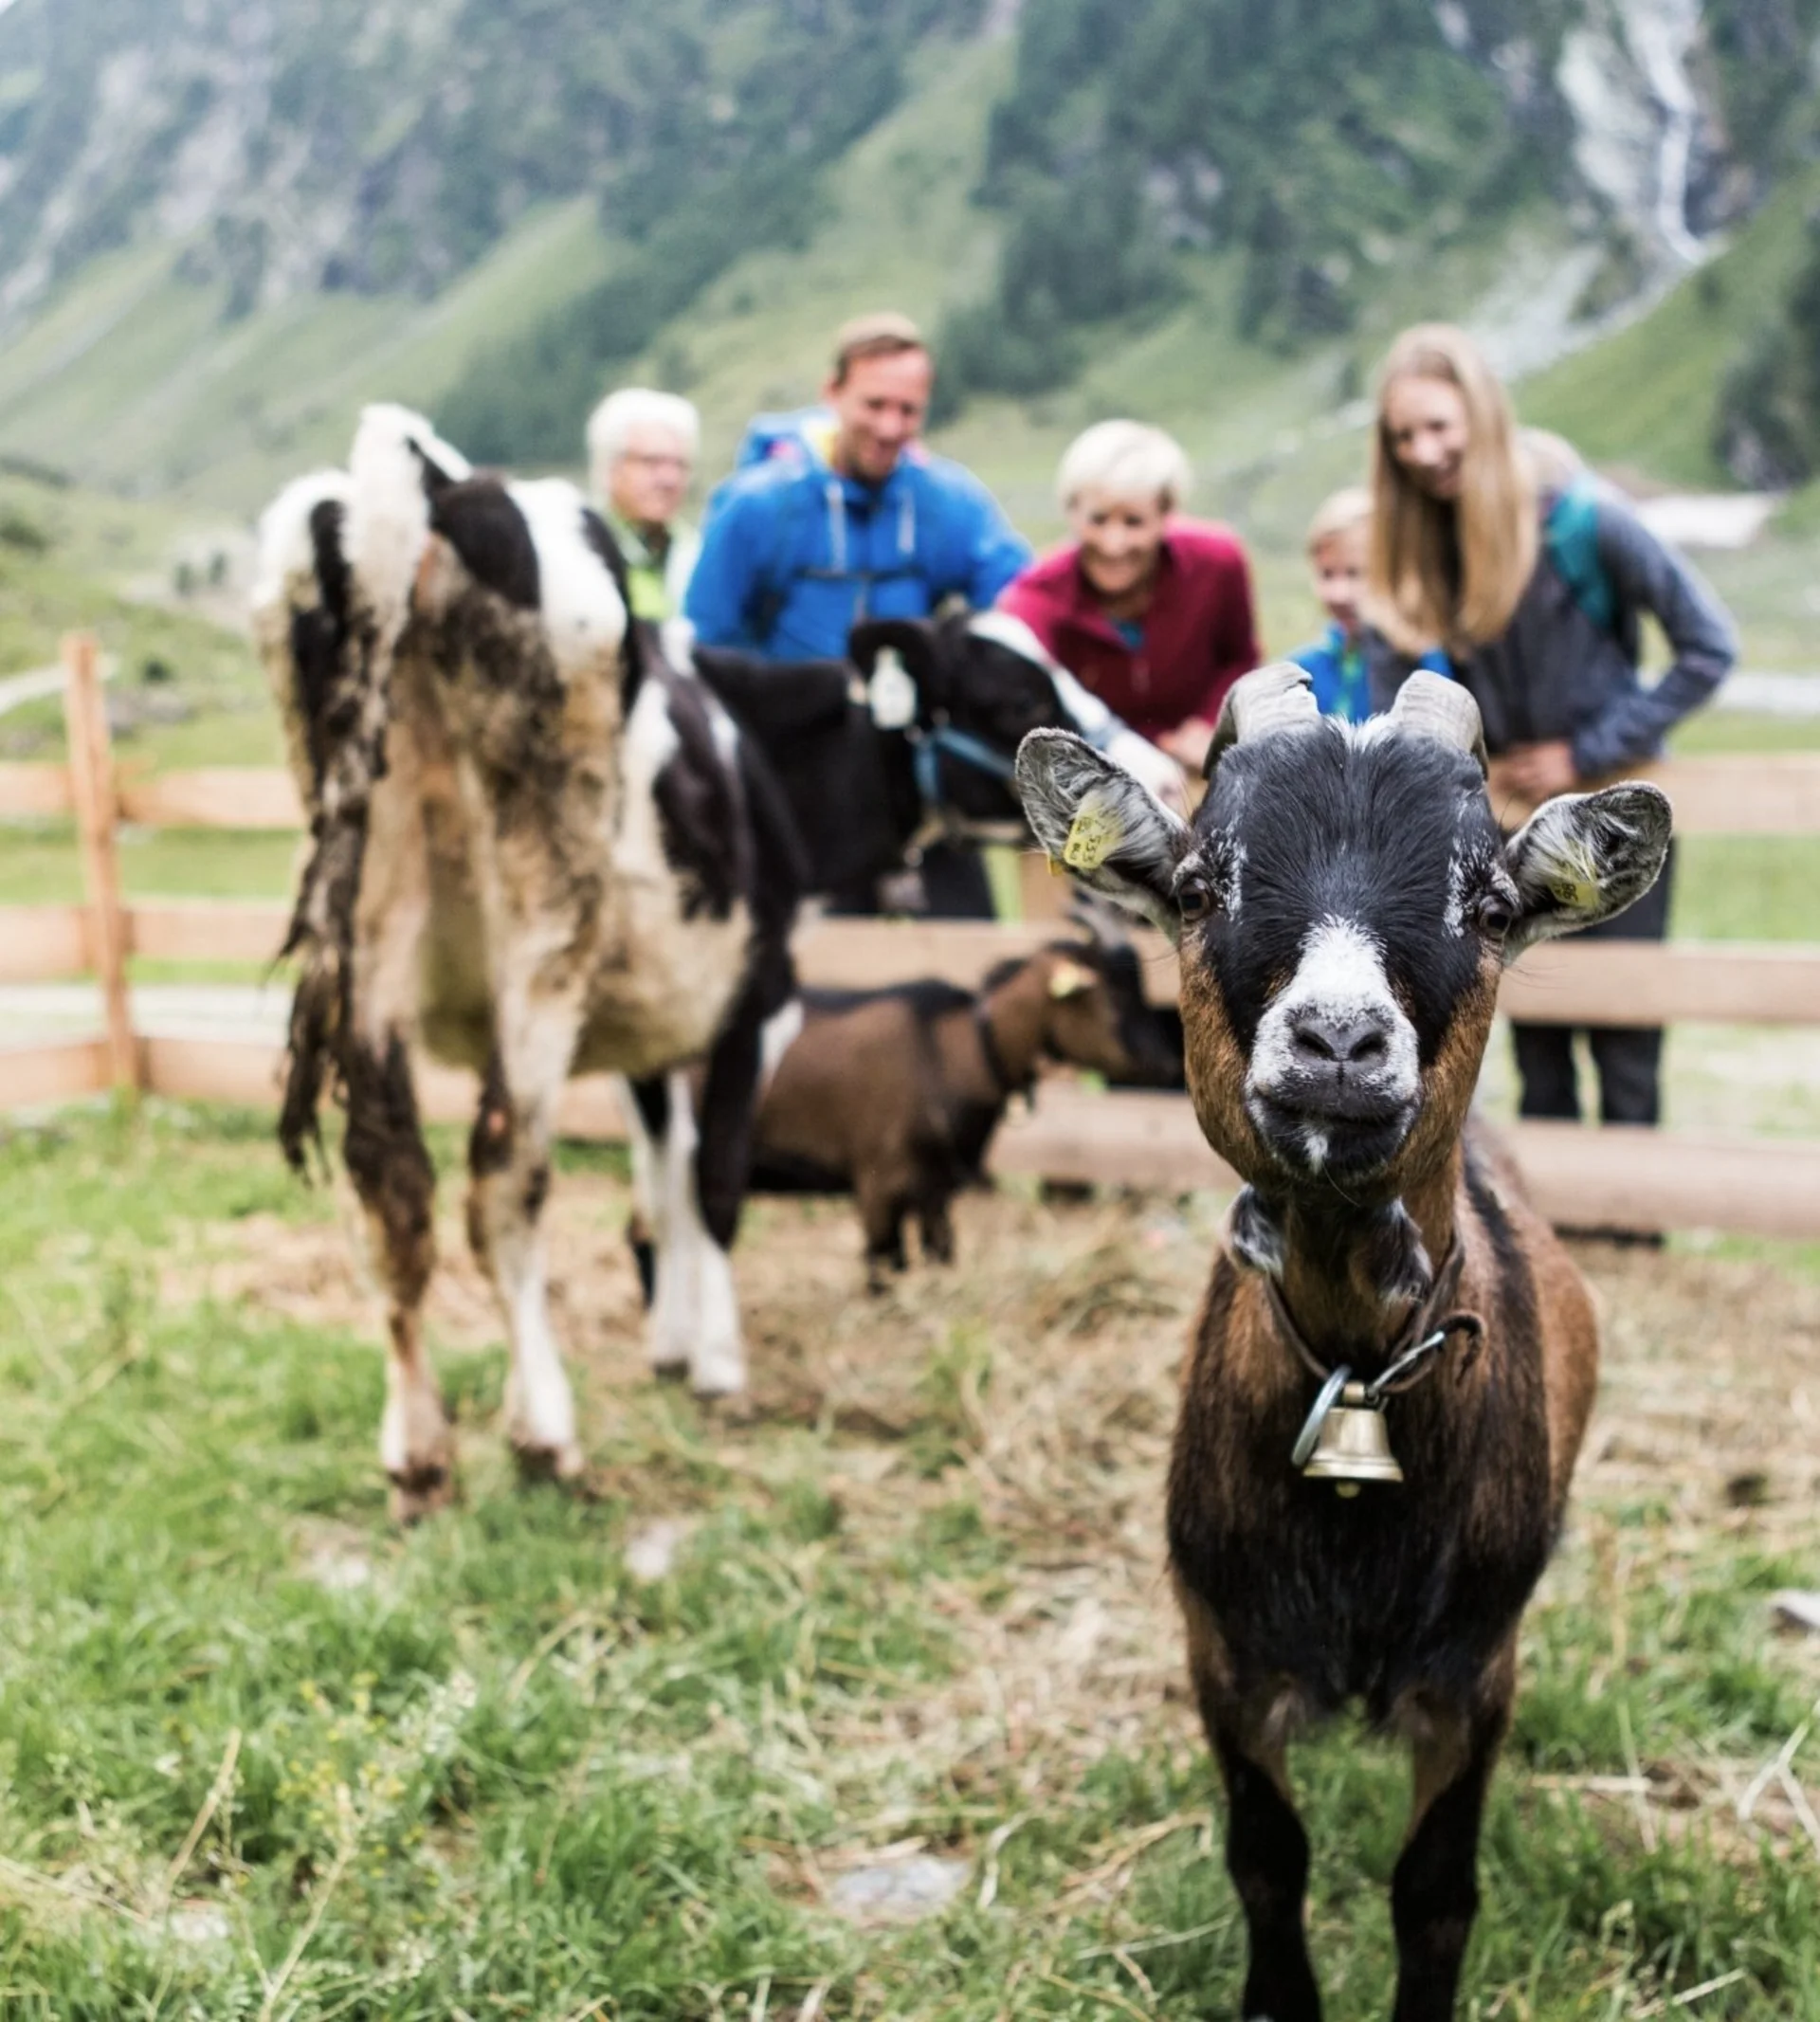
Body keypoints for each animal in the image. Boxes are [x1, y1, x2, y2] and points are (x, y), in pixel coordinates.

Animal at [253, 406, 801, 1520]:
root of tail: (425, 476)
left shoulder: (650, 1039)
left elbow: (665, 1177)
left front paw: (672, 1340)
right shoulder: (751, 1007)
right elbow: (715, 1178)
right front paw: (715, 1360)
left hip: (373, 909)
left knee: (392, 1186)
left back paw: (419, 1452)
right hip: (544, 919)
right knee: (505, 1177)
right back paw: (545, 1431)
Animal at [1016, 665, 1672, 2020]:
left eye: (1488, 904)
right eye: (1202, 886)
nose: (1336, 1041)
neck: (1359, 1364)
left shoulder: (1475, 1674)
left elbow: (1434, 1889)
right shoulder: (1221, 1653)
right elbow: (1267, 1855)